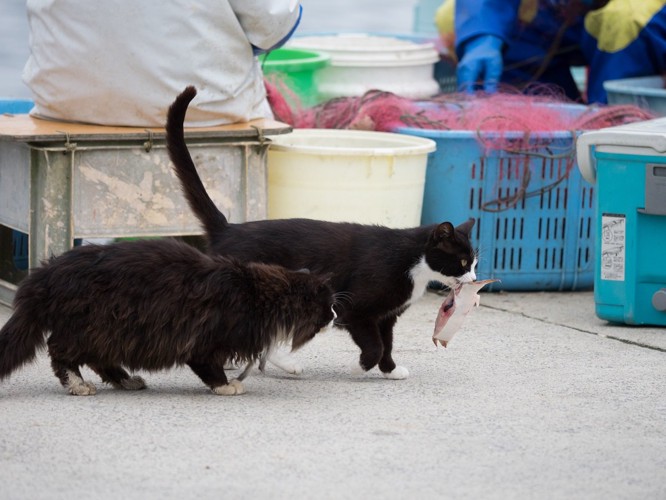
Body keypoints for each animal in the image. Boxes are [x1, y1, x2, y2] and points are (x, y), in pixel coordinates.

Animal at [0, 238, 334, 394]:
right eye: (327, 304)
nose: (334, 314)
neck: (254, 293)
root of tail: (45, 273)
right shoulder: (204, 342)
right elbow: (210, 368)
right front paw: (226, 385)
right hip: (89, 327)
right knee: (60, 354)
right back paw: (79, 385)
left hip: (107, 332)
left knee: (99, 360)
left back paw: (126, 380)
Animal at [166, 88, 478, 380]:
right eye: (463, 262)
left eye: (475, 263)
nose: (475, 279)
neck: (414, 261)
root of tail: (228, 228)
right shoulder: (356, 309)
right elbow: (375, 345)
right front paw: (359, 367)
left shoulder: (386, 316)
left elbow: (387, 343)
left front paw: (391, 370)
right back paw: (285, 363)